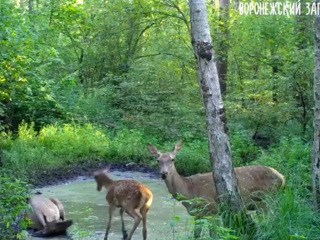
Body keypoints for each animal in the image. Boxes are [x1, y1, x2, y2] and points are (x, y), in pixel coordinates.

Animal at [148, 141, 284, 236]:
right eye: (158, 160)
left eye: (172, 159)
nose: (164, 173)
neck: (189, 192)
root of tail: (282, 178)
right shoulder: (197, 215)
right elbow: (196, 236)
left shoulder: (212, 210)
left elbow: (214, 234)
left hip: (267, 199)